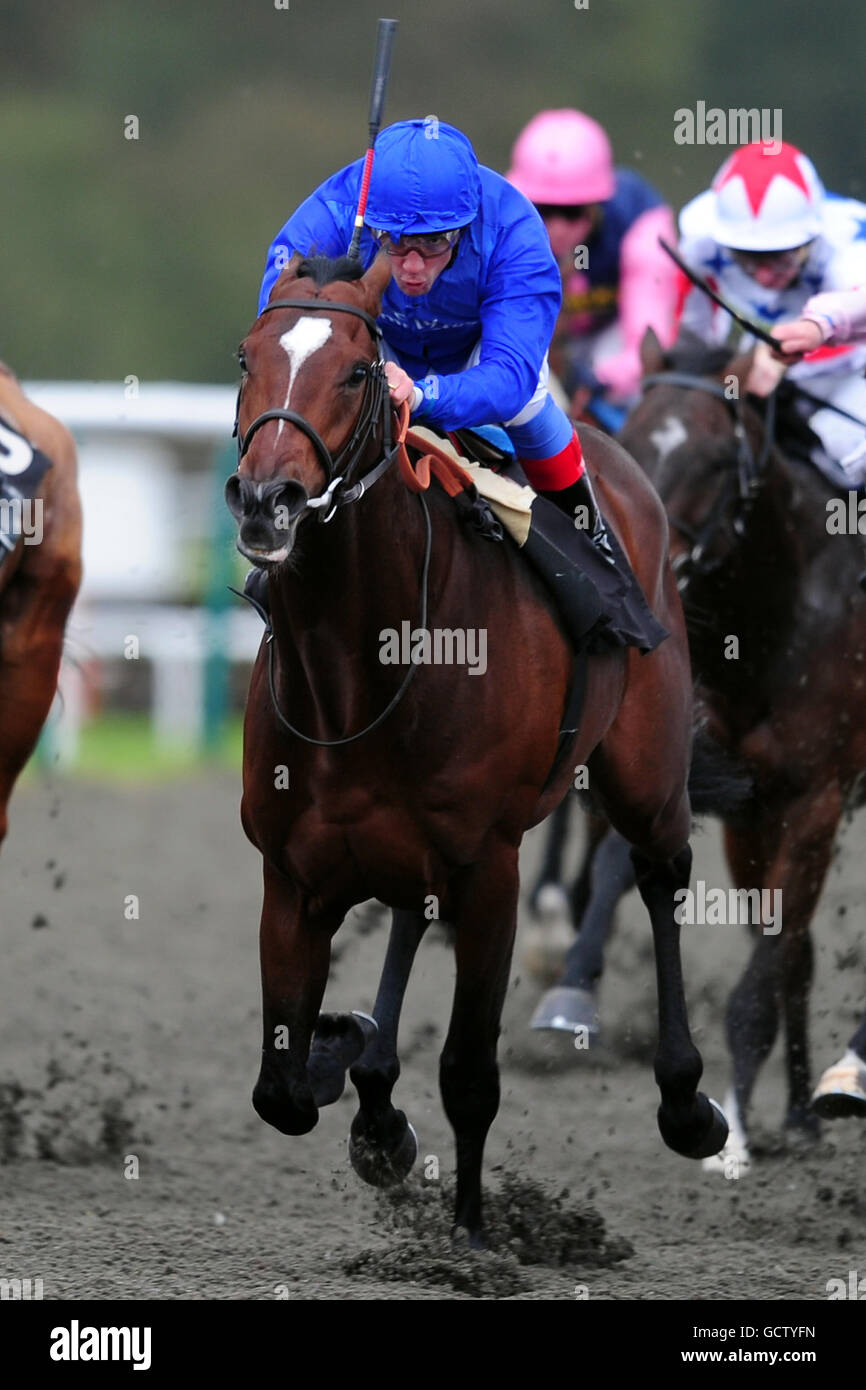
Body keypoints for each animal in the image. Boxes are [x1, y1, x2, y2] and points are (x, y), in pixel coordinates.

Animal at [226, 255, 728, 1245]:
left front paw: (469, 1237)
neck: (361, 674)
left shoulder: (492, 867)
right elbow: (279, 1087)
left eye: (357, 372)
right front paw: (357, 1076)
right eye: (246, 358)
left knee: (660, 873)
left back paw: (687, 1101)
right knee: (409, 918)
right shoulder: (291, 878)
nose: (268, 501)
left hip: (646, 772)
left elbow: (468, 1072)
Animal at [528, 330, 866, 1167]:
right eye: (638, 435)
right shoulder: (740, 794)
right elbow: (784, 951)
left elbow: (764, 969)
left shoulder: (818, 795)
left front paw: (732, 1131)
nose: (635, 563)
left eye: (718, 458)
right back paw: (805, 1110)